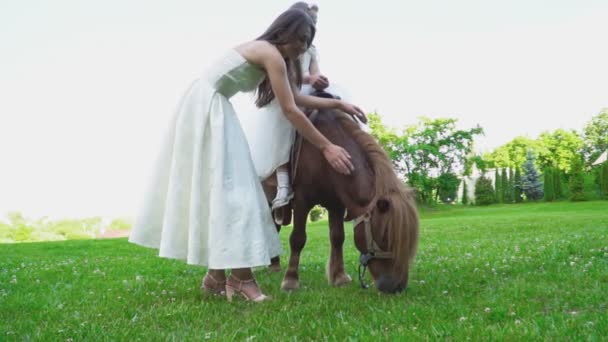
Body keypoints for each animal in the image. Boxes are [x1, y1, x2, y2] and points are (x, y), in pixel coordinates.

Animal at [266, 97, 418, 294]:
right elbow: (298, 239)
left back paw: (274, 265)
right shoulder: (301, 201)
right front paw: (290, 280)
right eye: (385, 237)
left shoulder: (336, 204)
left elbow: (338, 237)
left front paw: (339, 277)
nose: (396, 287)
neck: (324, 154)